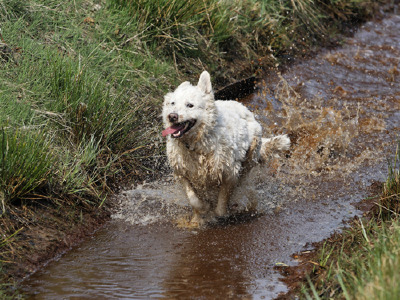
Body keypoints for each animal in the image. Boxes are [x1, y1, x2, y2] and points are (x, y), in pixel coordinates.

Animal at [161, 71, 290, 225]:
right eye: (172, 103)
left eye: (190, 105)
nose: (172, 116)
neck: (197, 144)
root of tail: (244, 108)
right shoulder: (182, 173)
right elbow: (194, 200)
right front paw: (202, 212)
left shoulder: (229, 174)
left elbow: (221, 205)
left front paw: (219, 213)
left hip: (250, 155)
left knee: (243, 178)